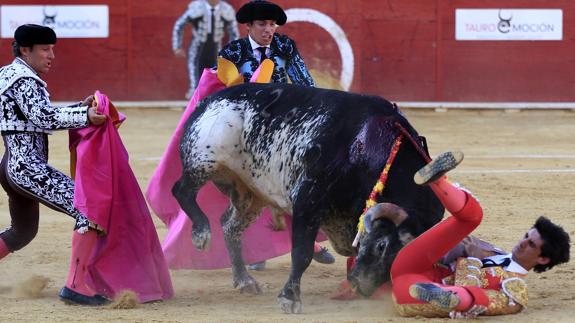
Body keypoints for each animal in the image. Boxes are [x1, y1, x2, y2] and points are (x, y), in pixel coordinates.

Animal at [174, 83, 446, 314]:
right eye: (381, 246)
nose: (362, 287)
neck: (368, 144)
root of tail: (209, 100)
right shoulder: (308, 199)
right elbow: (301, 253)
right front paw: (289, 298)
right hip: (204, 160)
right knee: (182, 190)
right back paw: (201, 234)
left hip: (249, 193)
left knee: (230, 226)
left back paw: (244, 281)